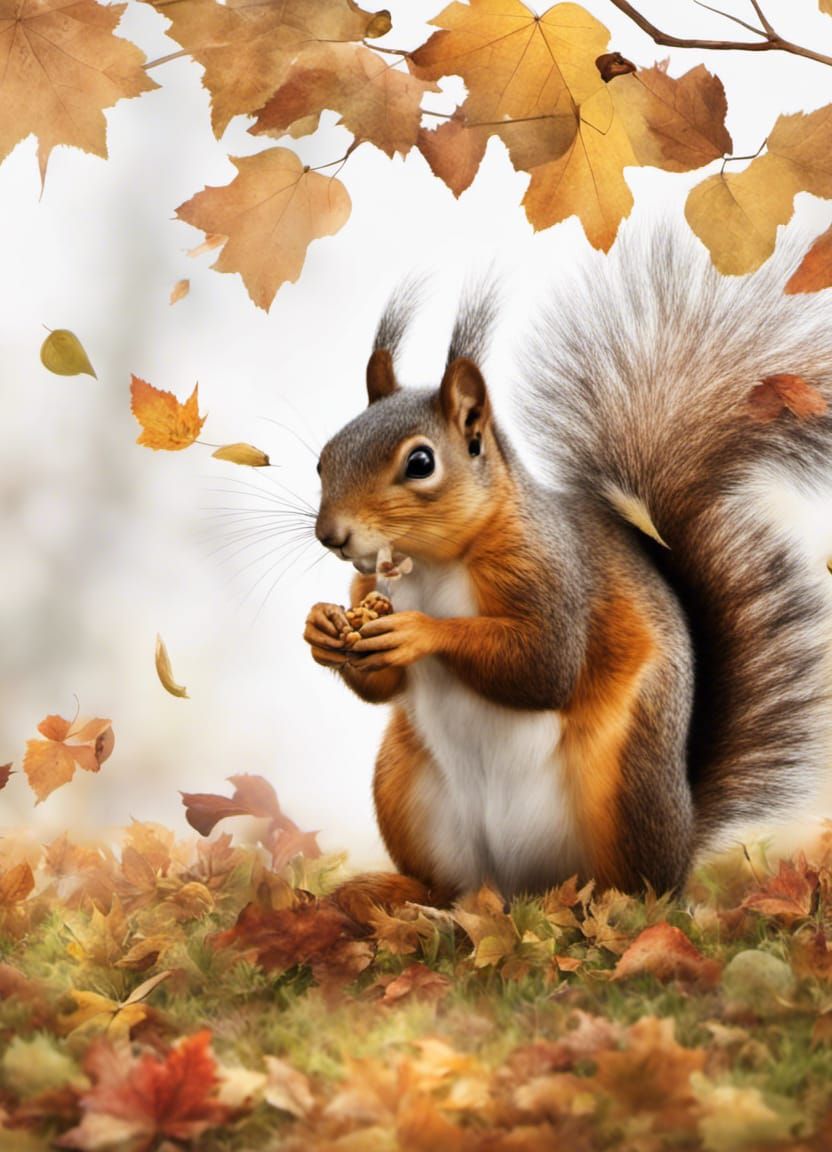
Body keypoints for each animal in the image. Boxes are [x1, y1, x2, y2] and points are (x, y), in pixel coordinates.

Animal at [303, 231, 832, 914]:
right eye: (325, 457)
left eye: (420, 462)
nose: (331, 535)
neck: (434, 564)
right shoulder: (371, 588)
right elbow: (380, 683)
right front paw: (321, 628)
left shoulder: (552, 571)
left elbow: (545, 665)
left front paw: (418, 631)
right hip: (404, 786)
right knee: (451, 891)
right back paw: (399, 896)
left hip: (623, 789)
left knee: (634, 890)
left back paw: (603, 908)